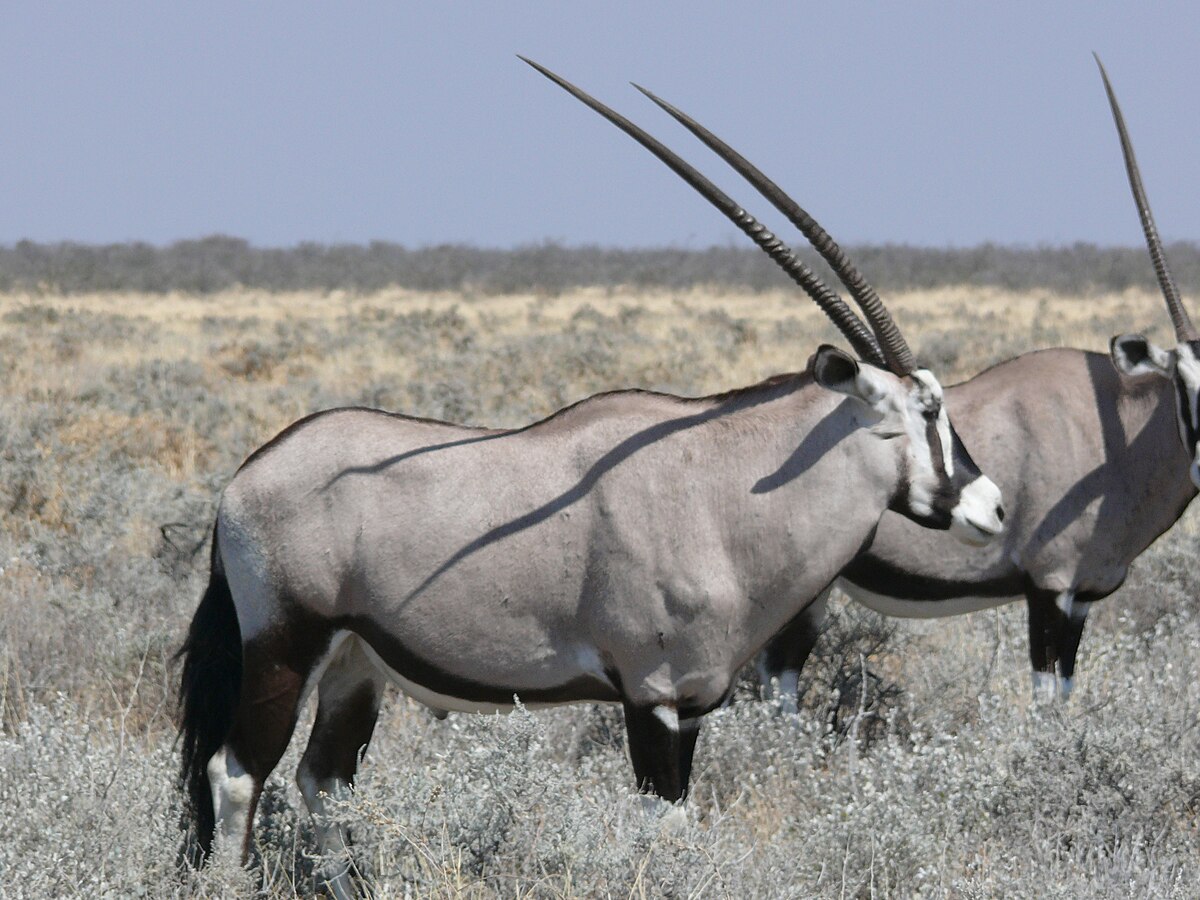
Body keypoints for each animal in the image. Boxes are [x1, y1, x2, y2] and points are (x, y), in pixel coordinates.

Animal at [177, 59, 1003, 894]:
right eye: (929, 410)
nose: (992, 507)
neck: (721, 491)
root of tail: (245, 478)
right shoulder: (652, 695)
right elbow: (661, 827)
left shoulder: (694, 701)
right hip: (285, 645)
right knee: (236, 772)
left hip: (354, 662)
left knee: (326, 777)